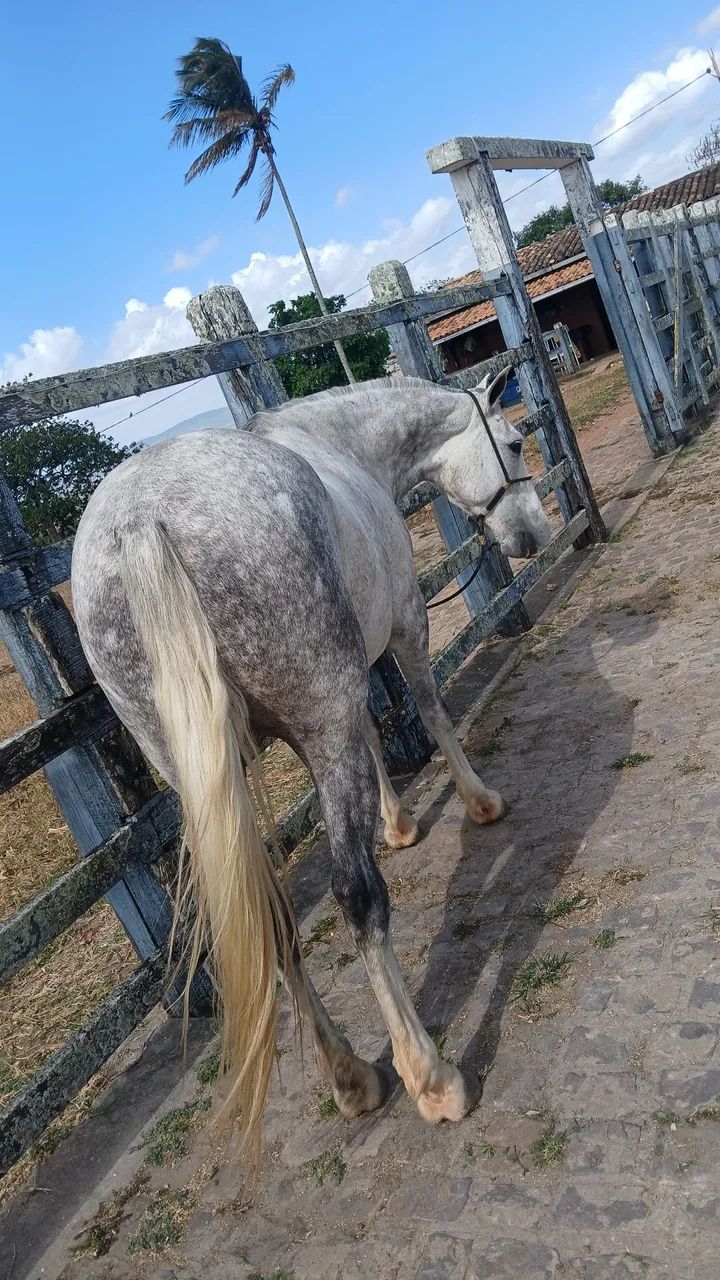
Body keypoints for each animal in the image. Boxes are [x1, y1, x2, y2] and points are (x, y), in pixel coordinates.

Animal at [71, 368, 551, 1166]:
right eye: (512, 441)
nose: (533, 535)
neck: (341, 444)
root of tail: (143, 521)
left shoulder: (340, 697)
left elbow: (377, 730)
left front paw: (398, 822)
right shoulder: (401, 627)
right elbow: (426, 707)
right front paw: (480, 801)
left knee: (269, 926)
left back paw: (352, 1077)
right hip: (322, 711)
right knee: (357, 899)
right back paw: (430, 1077)